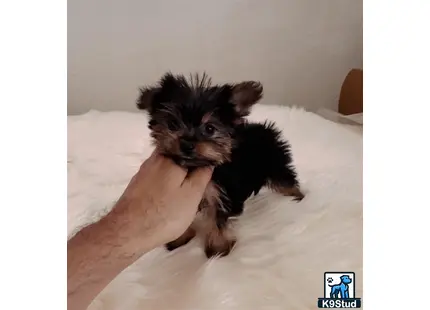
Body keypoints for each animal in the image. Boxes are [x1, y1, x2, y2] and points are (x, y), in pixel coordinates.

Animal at [136, 72, 304, 256]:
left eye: (210, 128)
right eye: (172, 124)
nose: (187, 144)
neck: (195, 166)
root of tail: (265, 128)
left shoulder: (221, 193)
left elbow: (218, 219)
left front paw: (218, 247)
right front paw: (181, 238)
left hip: (276, 164)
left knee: (286, 179)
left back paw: (297, 195)